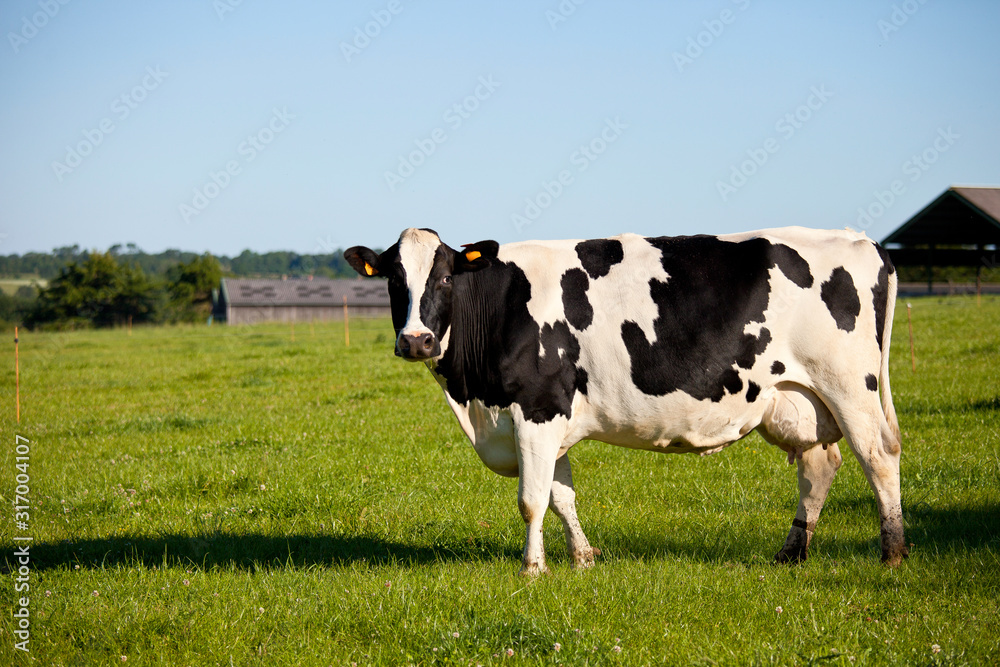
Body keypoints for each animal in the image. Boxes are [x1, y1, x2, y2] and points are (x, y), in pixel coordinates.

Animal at [348, 227, 912, 576]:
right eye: (394, 280)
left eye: (445, 277)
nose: (416, 340)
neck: (475, 403)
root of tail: (862, 240)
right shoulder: (550, 419)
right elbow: (562, 496)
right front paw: (583, 559)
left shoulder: (537, 408)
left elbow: (532, 499)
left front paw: (533, 568)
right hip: (797, 400)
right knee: (820, 466)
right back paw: (791, 553)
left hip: (849, 387)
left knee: (878, 457)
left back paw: (892, 553)